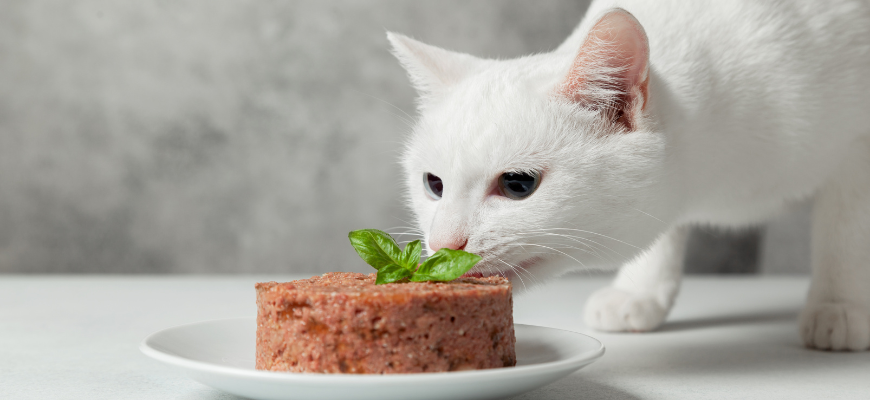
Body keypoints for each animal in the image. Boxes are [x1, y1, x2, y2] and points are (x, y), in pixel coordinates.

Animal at [388, 0, 870, 350]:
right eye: (434, 185)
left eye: (518, 184)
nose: (443, 243)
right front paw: (641, 290)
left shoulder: (857, 152)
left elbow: (845, 232)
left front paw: (840, 304)